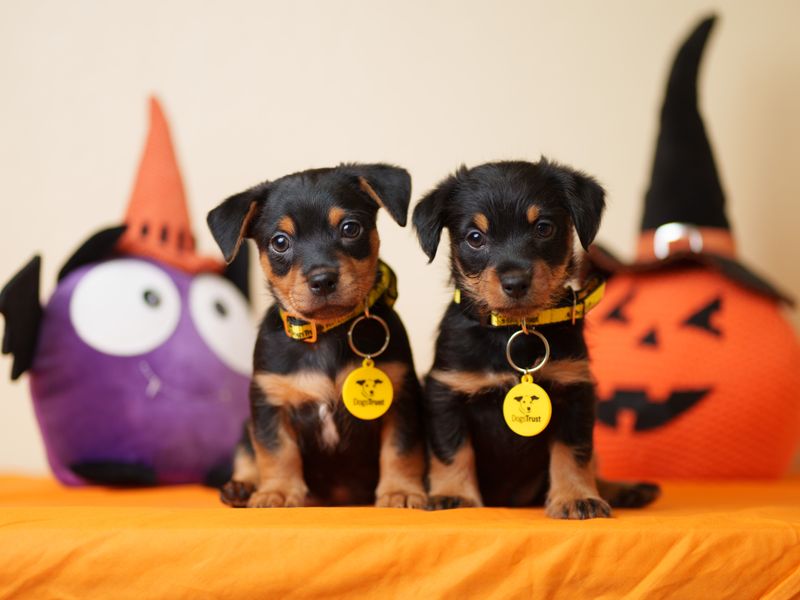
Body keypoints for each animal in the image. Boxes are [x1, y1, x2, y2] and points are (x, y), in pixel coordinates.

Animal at [209, 163, 428, 506]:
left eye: (351, 228)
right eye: (280, 242)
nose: (322, 279)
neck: (326, 333)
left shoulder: (401, 398)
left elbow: (401, 450)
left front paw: (401, 492)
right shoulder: (270, 403)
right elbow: (276, 452)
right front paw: (278, 492)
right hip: (247, 426)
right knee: (247, 452)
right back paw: (241, 487)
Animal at [412, 161, 656, 520]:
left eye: (543, 228)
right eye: (474, 237)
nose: (515, 282)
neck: (514, 330)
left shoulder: (574, 391)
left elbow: (573, 453)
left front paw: (576, 497)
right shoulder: (446, 392)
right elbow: (452, 449)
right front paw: (453, 494)